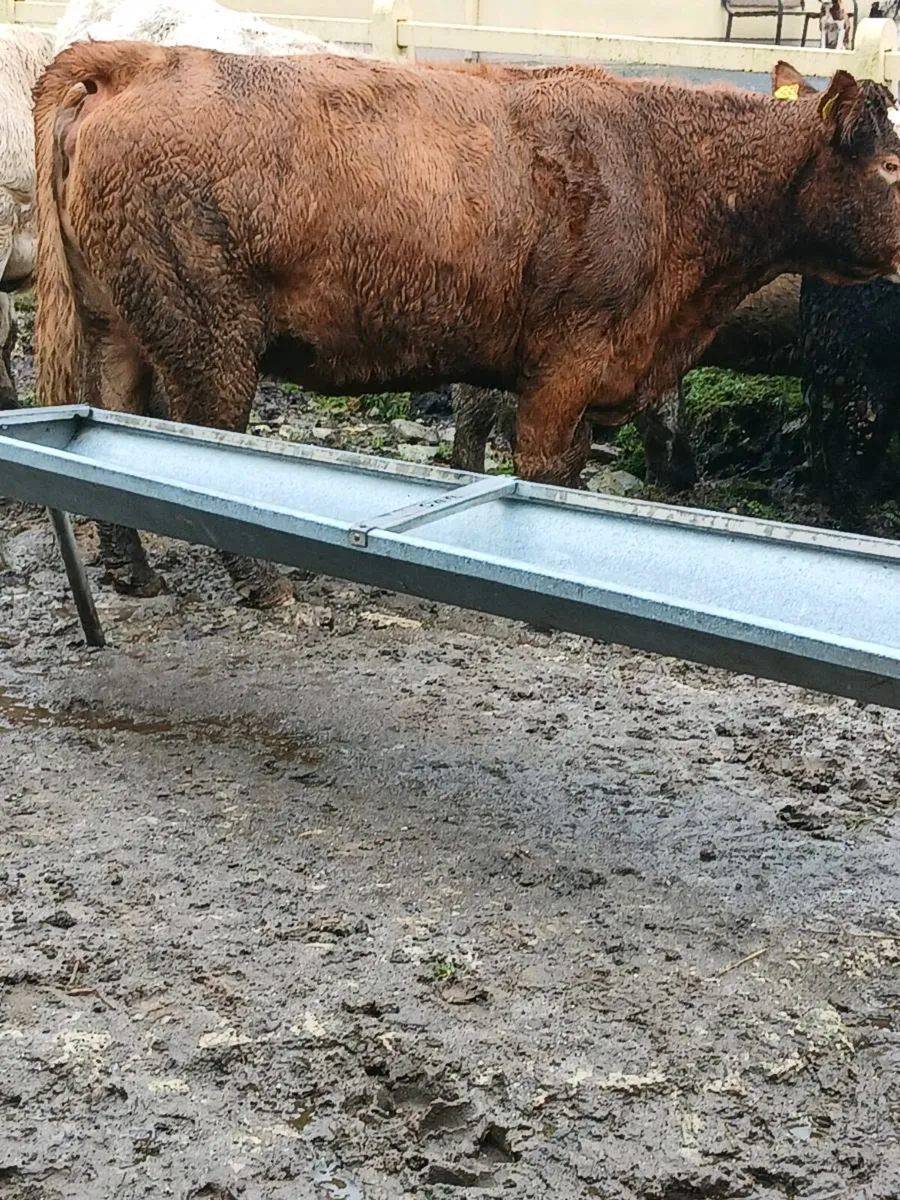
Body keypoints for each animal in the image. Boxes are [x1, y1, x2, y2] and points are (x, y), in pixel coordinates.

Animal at [33, 46, 900, 592]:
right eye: (893, 163)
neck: (662, 168)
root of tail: (140, 61)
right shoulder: (566, 368)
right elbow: (546, 473)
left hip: (122, 330)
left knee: (113, 420)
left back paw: (134, 571)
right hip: (210, 343)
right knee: (202, 446)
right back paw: (263, 585)